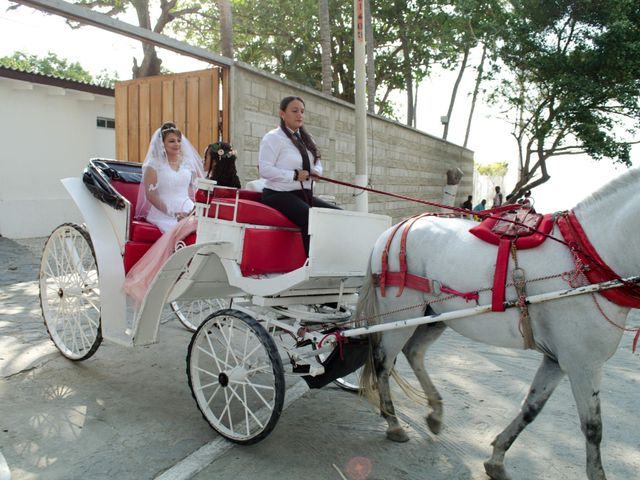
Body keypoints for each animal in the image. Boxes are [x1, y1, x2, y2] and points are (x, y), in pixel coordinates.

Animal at [356, 167, 640, 478]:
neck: (588, 259)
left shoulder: (557, 359)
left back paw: (435, 412)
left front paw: (497, 457)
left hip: (434, 316)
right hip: (399, 317)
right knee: (383, 362)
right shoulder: (583, 364)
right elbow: (593, 428)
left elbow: (530, 409)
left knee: (414, 352)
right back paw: (393, 422)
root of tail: (394, 230)